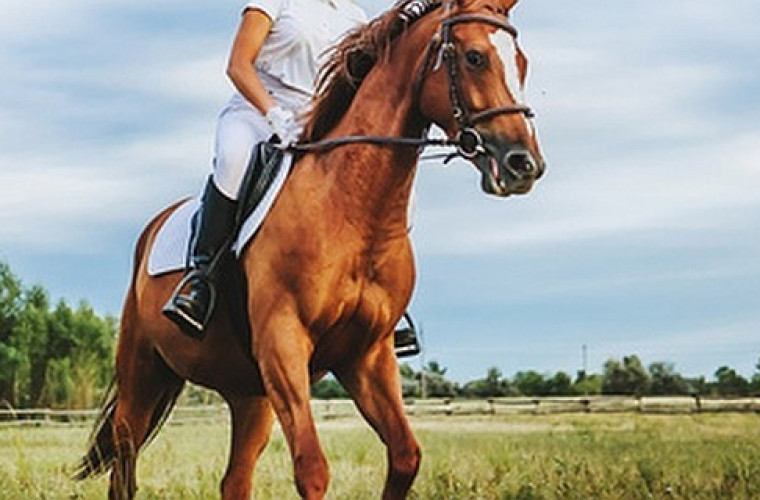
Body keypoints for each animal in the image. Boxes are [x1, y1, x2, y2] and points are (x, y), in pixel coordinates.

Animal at [78, 0, 548, 496]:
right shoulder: (285, 342)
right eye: (475, 57)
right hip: (143, 373)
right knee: (124, 466)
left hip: (250, 395)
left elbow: (406, 456)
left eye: (522, 63)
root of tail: (152, 227)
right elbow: (313, 469)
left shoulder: (367, 355)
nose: (524, 165)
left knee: (234, 479)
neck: (352, 211)